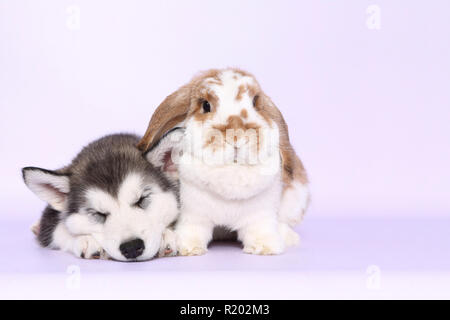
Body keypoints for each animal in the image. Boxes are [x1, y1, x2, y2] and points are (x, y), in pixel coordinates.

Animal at [22, 131, 181, 262]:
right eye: (99, 214)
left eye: (141, 200)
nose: (131, 247)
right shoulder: (50, 222)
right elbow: (57, 231)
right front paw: (86, 239)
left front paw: (165, 235)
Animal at [138, 67, 310, 255]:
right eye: (206, 105)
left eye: (255, 103)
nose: (236, 136)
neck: (231, 170)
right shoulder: (193, 213)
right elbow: (193, 230)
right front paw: (189, 249)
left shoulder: (260, 214)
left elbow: (260, 229)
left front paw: (264, 248)